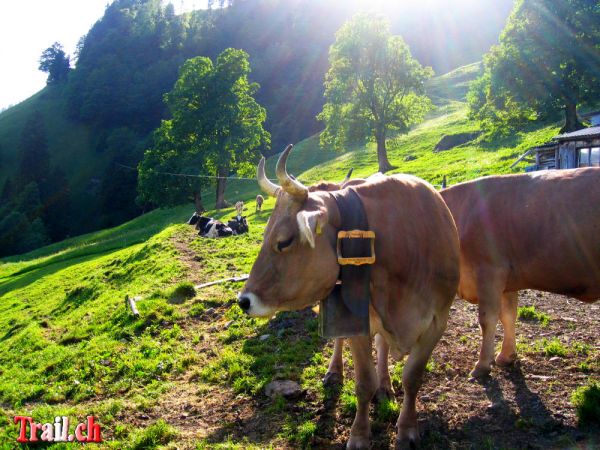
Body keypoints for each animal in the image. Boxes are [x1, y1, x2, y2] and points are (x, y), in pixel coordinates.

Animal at [237, 144, 458, 446]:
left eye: (283, 241)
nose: (243, 301)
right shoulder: (357, 321)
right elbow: (363, 382)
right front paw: (359, 436)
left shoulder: (437, 322)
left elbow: (412, 378)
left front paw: (407, 429)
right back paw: (335, 372)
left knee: (382, 345)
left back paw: (386, 385)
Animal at [440, 167, 600, 378]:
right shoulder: (507, 281)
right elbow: (508, 315)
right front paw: (506, 356)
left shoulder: (490, 271)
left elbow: (487, 318)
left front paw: (482, 365)